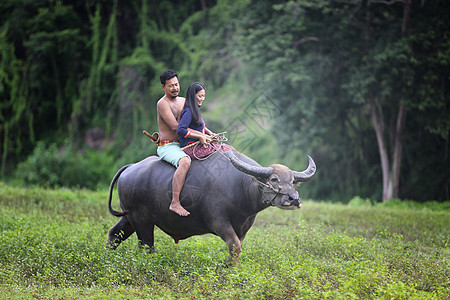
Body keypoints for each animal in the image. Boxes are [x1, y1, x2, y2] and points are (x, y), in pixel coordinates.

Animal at [107, 150, 314, 264]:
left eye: (293, 181)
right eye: (274, 179)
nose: (294, 199)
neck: (240, 187)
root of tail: (130, 167)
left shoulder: (243, 228)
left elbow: (237, 247)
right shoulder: (218, 221)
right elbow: (234, 246)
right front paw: (226, 266)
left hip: (129, 216)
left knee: (114, 233)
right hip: (142, 221)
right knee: (146, 246)